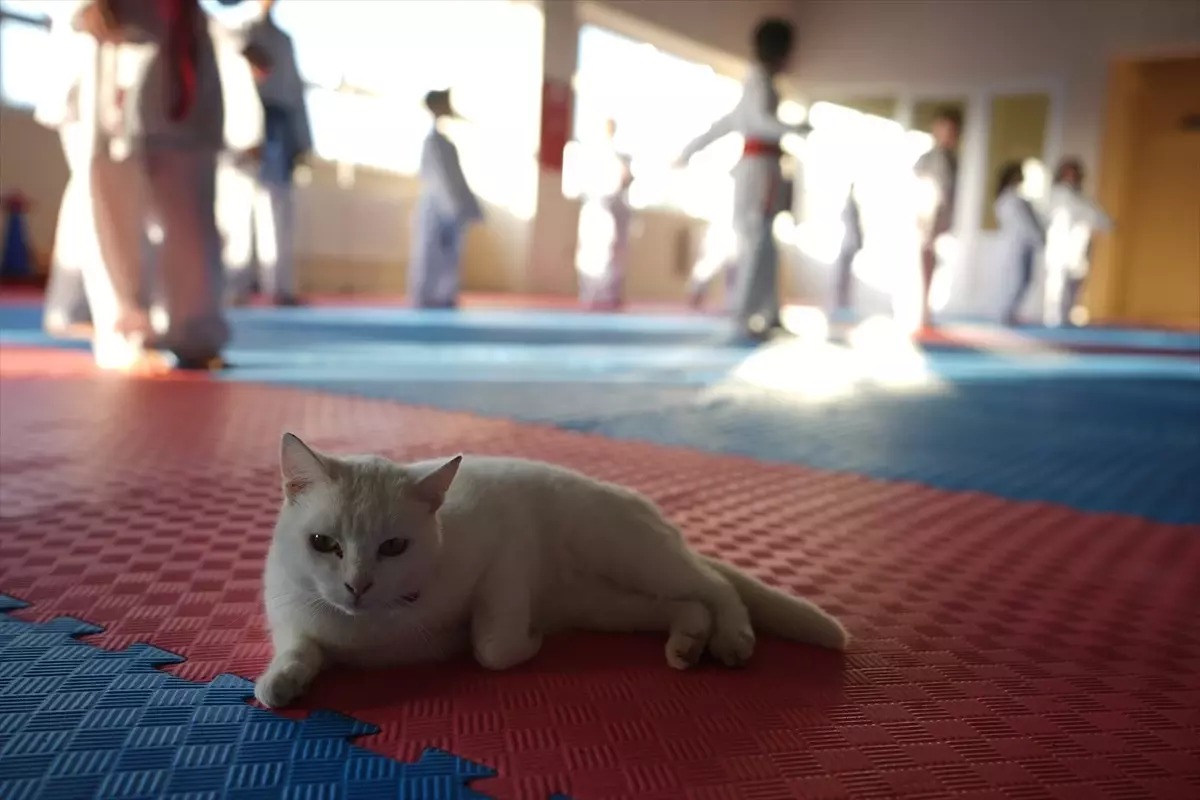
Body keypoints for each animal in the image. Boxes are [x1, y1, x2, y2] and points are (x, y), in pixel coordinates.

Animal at [258, 431, 849, 705]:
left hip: (635, 557)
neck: (371, 629)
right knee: (686, 605)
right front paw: (280, 683)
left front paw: (528, 642)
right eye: (323, 543)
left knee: (719, 585)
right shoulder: (291, 615)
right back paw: (688, 644)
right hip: (610, 606)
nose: (357, 585)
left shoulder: (507, 551)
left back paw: (732, 639)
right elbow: (299, 648)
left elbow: (491, 645)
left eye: (394, 547)